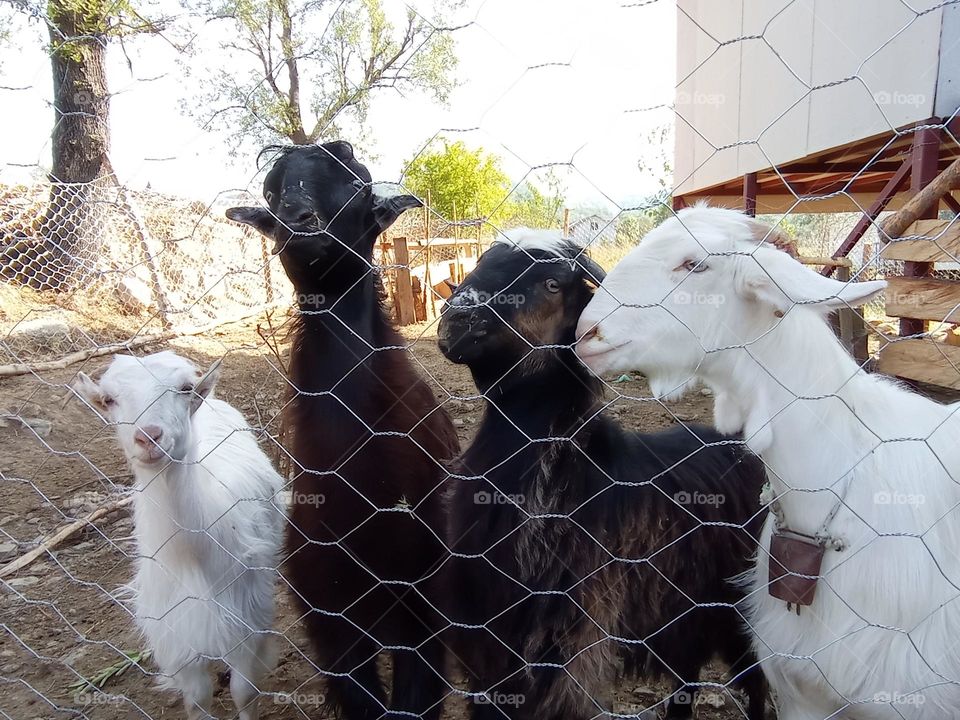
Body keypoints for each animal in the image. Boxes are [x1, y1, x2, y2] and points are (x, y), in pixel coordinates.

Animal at [71, 350, 285, 720]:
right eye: (109, 399)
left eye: (185, 388)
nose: (149, 437)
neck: (192, 557)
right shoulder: (175, 635)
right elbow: (197, 699)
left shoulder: (248, 618)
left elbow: (244, 692)